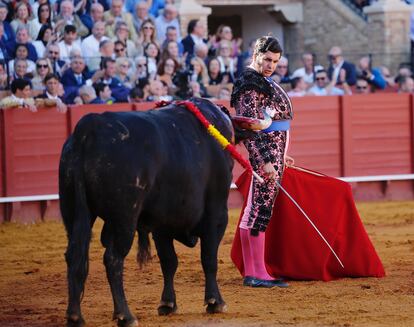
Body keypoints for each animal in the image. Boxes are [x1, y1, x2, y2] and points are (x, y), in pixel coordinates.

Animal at [59, 98, 244, 326]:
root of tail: (88, 129)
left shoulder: (161, 223)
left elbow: (168, 261)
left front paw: (168, 304)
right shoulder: (216, 213)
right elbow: (208, 257)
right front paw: (215, 302)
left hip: (73, 212)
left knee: (74, 255)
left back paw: (75, 316)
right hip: (124, 218)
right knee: (113, 259)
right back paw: (125, 315)